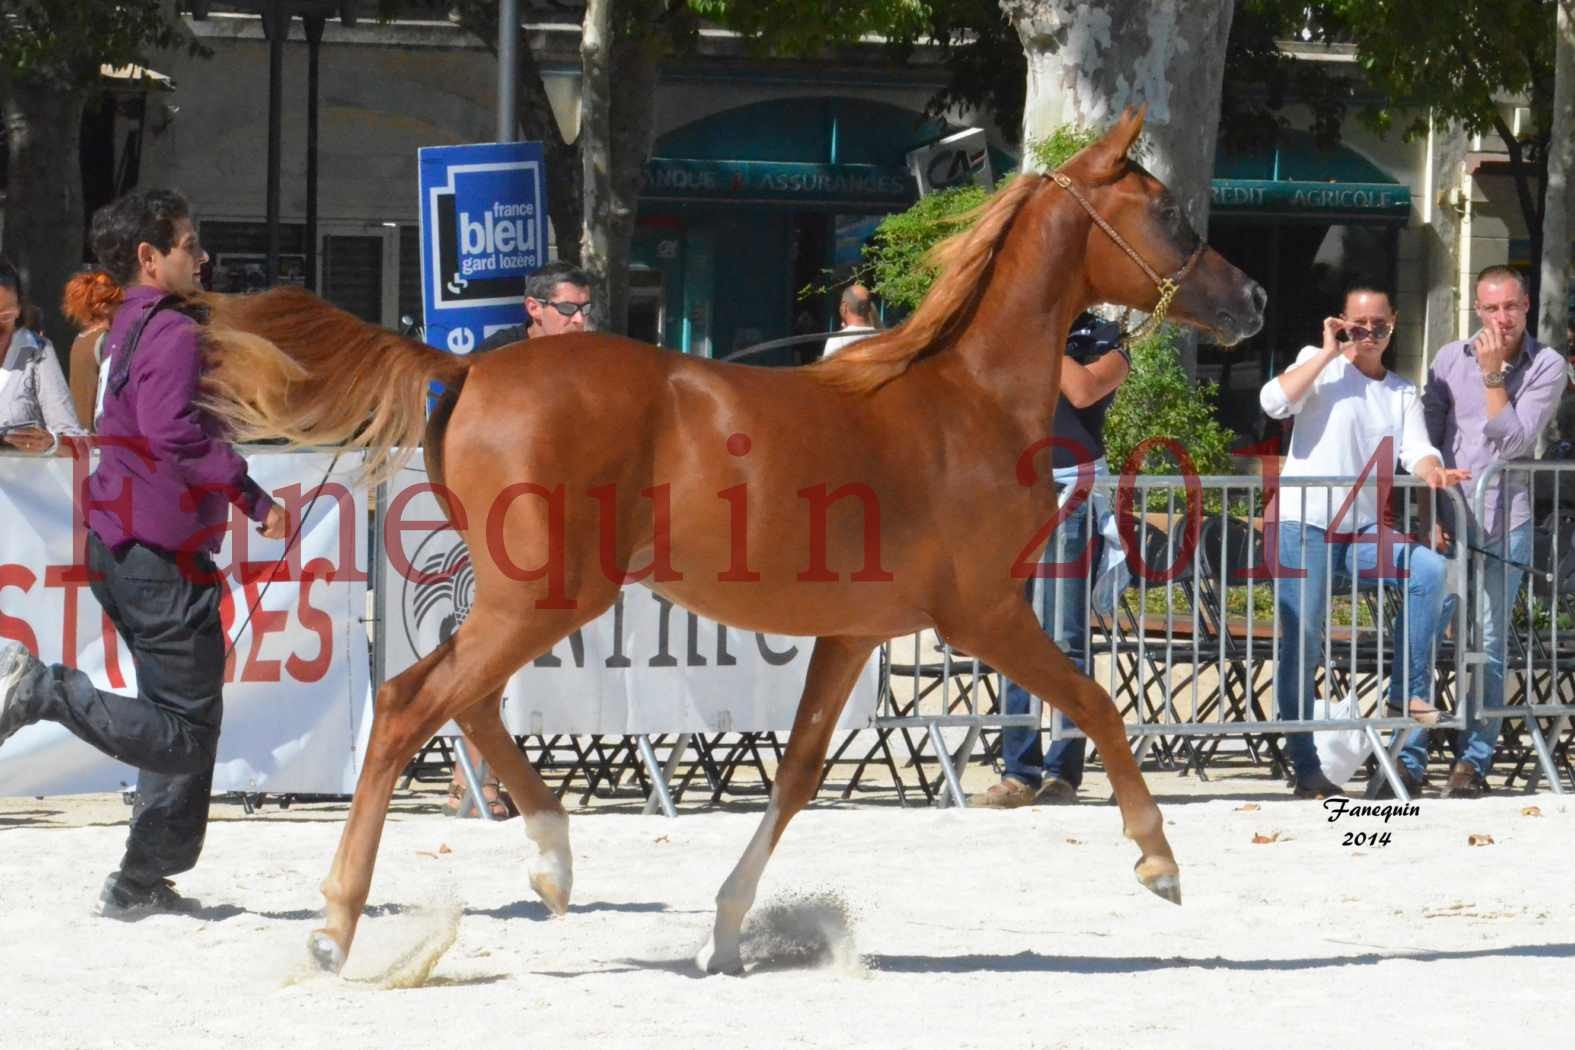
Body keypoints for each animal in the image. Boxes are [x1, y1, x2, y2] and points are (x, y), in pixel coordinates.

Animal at [196, 110, 1266, 976]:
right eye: (1167, 211)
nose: (1251, 303)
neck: (961, 401)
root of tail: (466, 370)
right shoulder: (985, 614)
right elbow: (1096, 702)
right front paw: (1158, 860)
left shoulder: (855, 635)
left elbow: (796, 775)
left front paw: (723, 930)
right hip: (543, 598)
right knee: (409, 705)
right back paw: (340, 924)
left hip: (526, 601)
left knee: (470, 707)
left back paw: (551, 862)